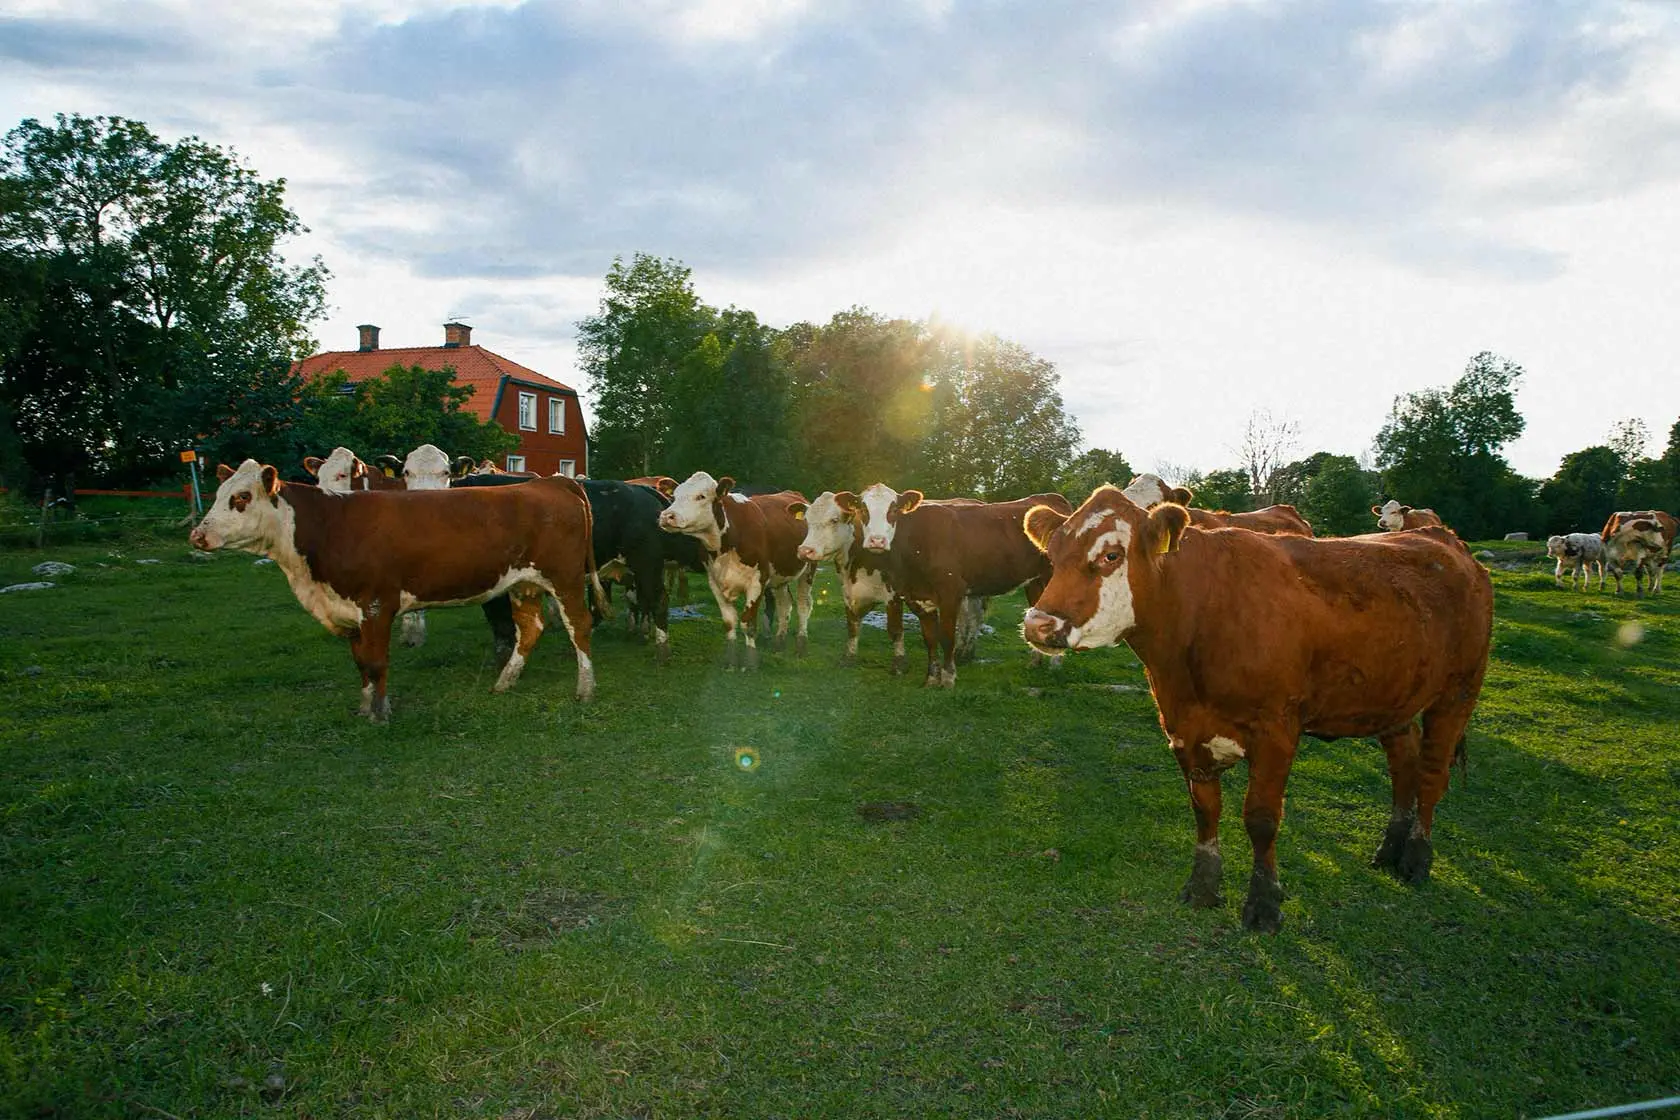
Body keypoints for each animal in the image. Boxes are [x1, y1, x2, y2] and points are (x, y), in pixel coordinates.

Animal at [189, 460, 604, 722]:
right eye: (218, 494)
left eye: (242, 497)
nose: (197, 535)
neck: (328, 527)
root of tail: (551, 481)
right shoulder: (348, 610)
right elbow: (361, 664)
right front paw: (364, 707)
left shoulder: (376, 605)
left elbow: (376, 662)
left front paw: (381, 713)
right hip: (523, 584)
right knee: (530, 629)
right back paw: (504, 682)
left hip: (565, 579)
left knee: (579, 626)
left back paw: (585, 689)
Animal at [655, 470, 813, 671]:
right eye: (674, 496)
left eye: (701, 496)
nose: (667, 516)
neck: (725, 544)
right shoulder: (714, 582)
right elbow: (729, 623)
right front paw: (730, 662)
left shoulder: (757, 582)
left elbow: (748, 623)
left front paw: (751, 663)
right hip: (780, 575)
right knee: (784, 604)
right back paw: (779, 644)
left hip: (808, 569)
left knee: (803, 605)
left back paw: (801, 647)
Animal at [853, 483, 1075, 688]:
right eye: (863, 510)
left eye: (894, 510)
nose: (877, 540)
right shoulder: (917, 596)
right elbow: (929, 638)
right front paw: (931, 679)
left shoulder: (951, 592)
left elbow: (946, 637)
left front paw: (948, 679)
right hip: (1035, 582)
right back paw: (1035, 662)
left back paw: (1055, 665)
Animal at [1014, 486, 1491, 933]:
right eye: (1052, 555)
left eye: (1111, 554)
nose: (1039, 624)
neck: (1199, 618)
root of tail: (1444, 538)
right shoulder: (1183, 726)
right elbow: (1204, 809)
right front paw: (1203, 887)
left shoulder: (1276, 729)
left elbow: (1261, 819)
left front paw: (1264, 904)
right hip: (1394, 698)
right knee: (1404, 766)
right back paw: (1390, 848)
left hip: (1458, 692)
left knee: (1431, 774)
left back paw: (1416, 857)